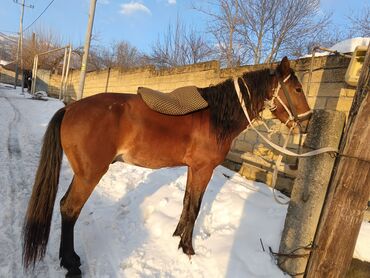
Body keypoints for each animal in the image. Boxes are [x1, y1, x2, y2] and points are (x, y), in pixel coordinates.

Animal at [23, 56, 310, 276]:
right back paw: (71, 264)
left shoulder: (193, 169)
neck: (217, 117)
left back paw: (68, 258)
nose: (307, 122)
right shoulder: (204, 170)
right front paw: (188, 249)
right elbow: (194, 208)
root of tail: (70, 109)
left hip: (82, 174)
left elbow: (186, 203)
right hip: (90, 175)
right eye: (297, 89)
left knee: (64, 205)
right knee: (70, 209)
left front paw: (176, 238)